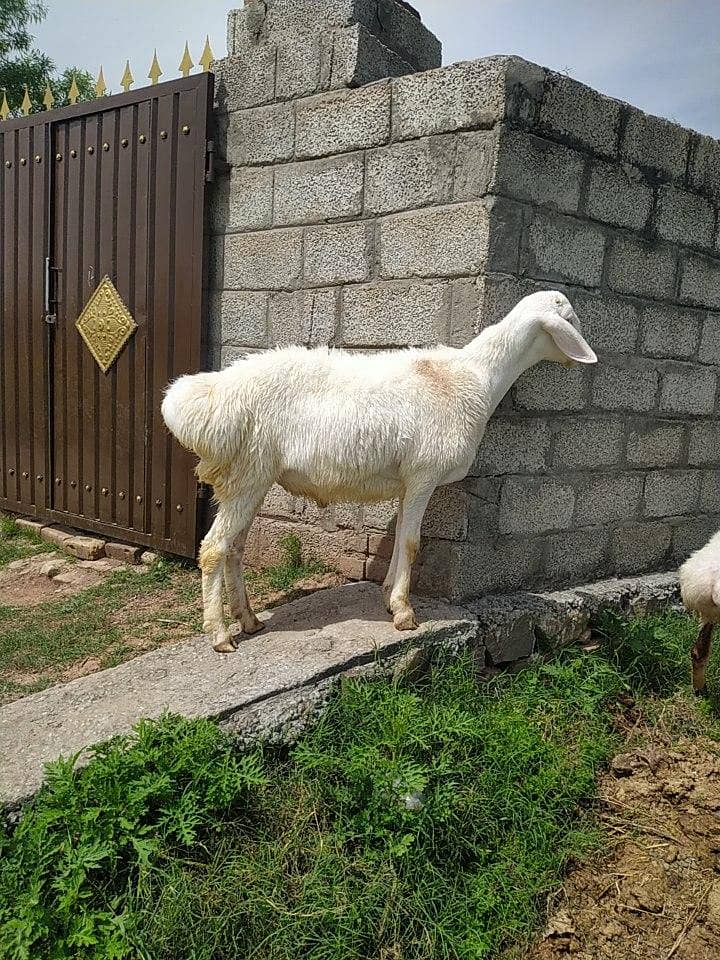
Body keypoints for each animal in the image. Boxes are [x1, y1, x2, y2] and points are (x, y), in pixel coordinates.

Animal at [162, 290, 597, 653]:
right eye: (571, 319)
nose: (591, 358)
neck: (473, 378)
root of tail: (209, 397)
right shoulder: (424, 474)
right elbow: (413, 543)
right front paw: (405, 613)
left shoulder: (408, 481)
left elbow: (400, 539)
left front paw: (389, 595)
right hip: (248, 473)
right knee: (214, 548)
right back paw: (220, 635)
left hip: (252, 476)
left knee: (234, 549)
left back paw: (249, 620)